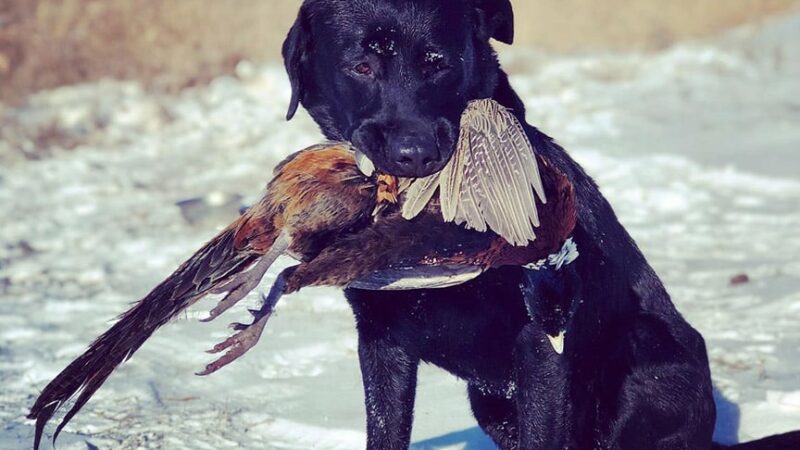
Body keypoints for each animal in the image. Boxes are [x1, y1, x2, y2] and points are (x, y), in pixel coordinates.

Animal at [284, 0, 796, 450]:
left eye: (438, 65)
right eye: (361, 67)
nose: (416, 154)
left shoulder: (541, 340)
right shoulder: (380, 340)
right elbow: (385, 429)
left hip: (642, 351)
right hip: (490, 402)